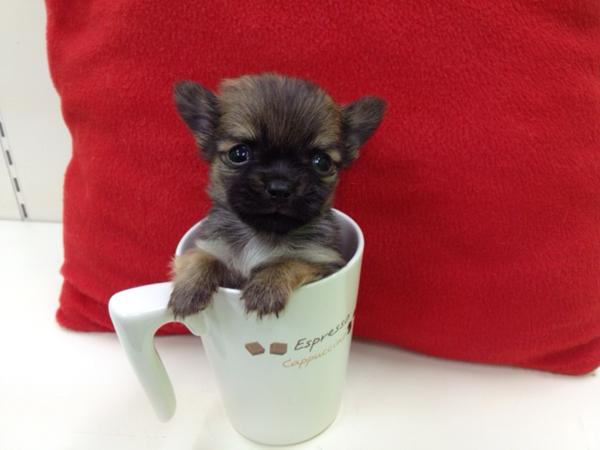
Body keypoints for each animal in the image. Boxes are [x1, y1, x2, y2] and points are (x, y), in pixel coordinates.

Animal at [169, 73, 385, 318]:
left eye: (321, 162)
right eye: (239, 153)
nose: (280, 188)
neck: (262, 235)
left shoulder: (323, 261)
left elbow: (294, 261)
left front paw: (266, 287)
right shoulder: (218, 246)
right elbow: (201, 255)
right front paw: (188, 288)